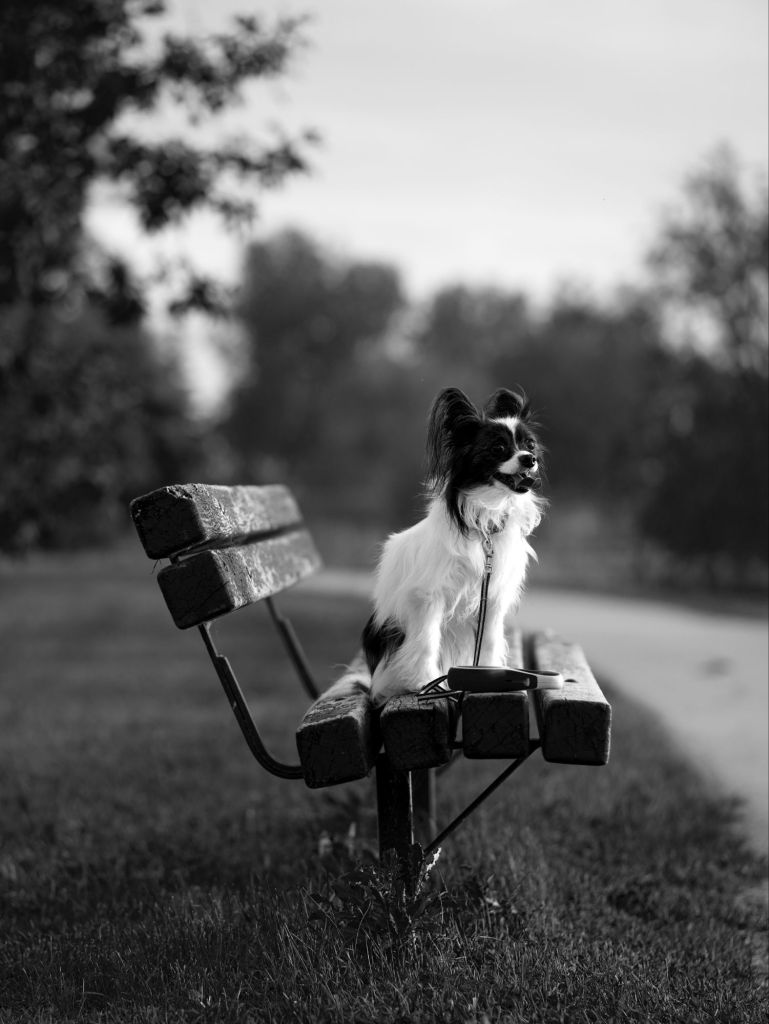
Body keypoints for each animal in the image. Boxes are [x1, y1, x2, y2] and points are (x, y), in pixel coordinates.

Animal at [363, 386, 546, 706]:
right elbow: (426, 641)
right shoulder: (427, 597)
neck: (486, 524)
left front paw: (489, 677)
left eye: (530, 445)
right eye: (498, 448)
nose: (529, 459)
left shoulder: (492, 600)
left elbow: (490, 640)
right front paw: (424, 683)